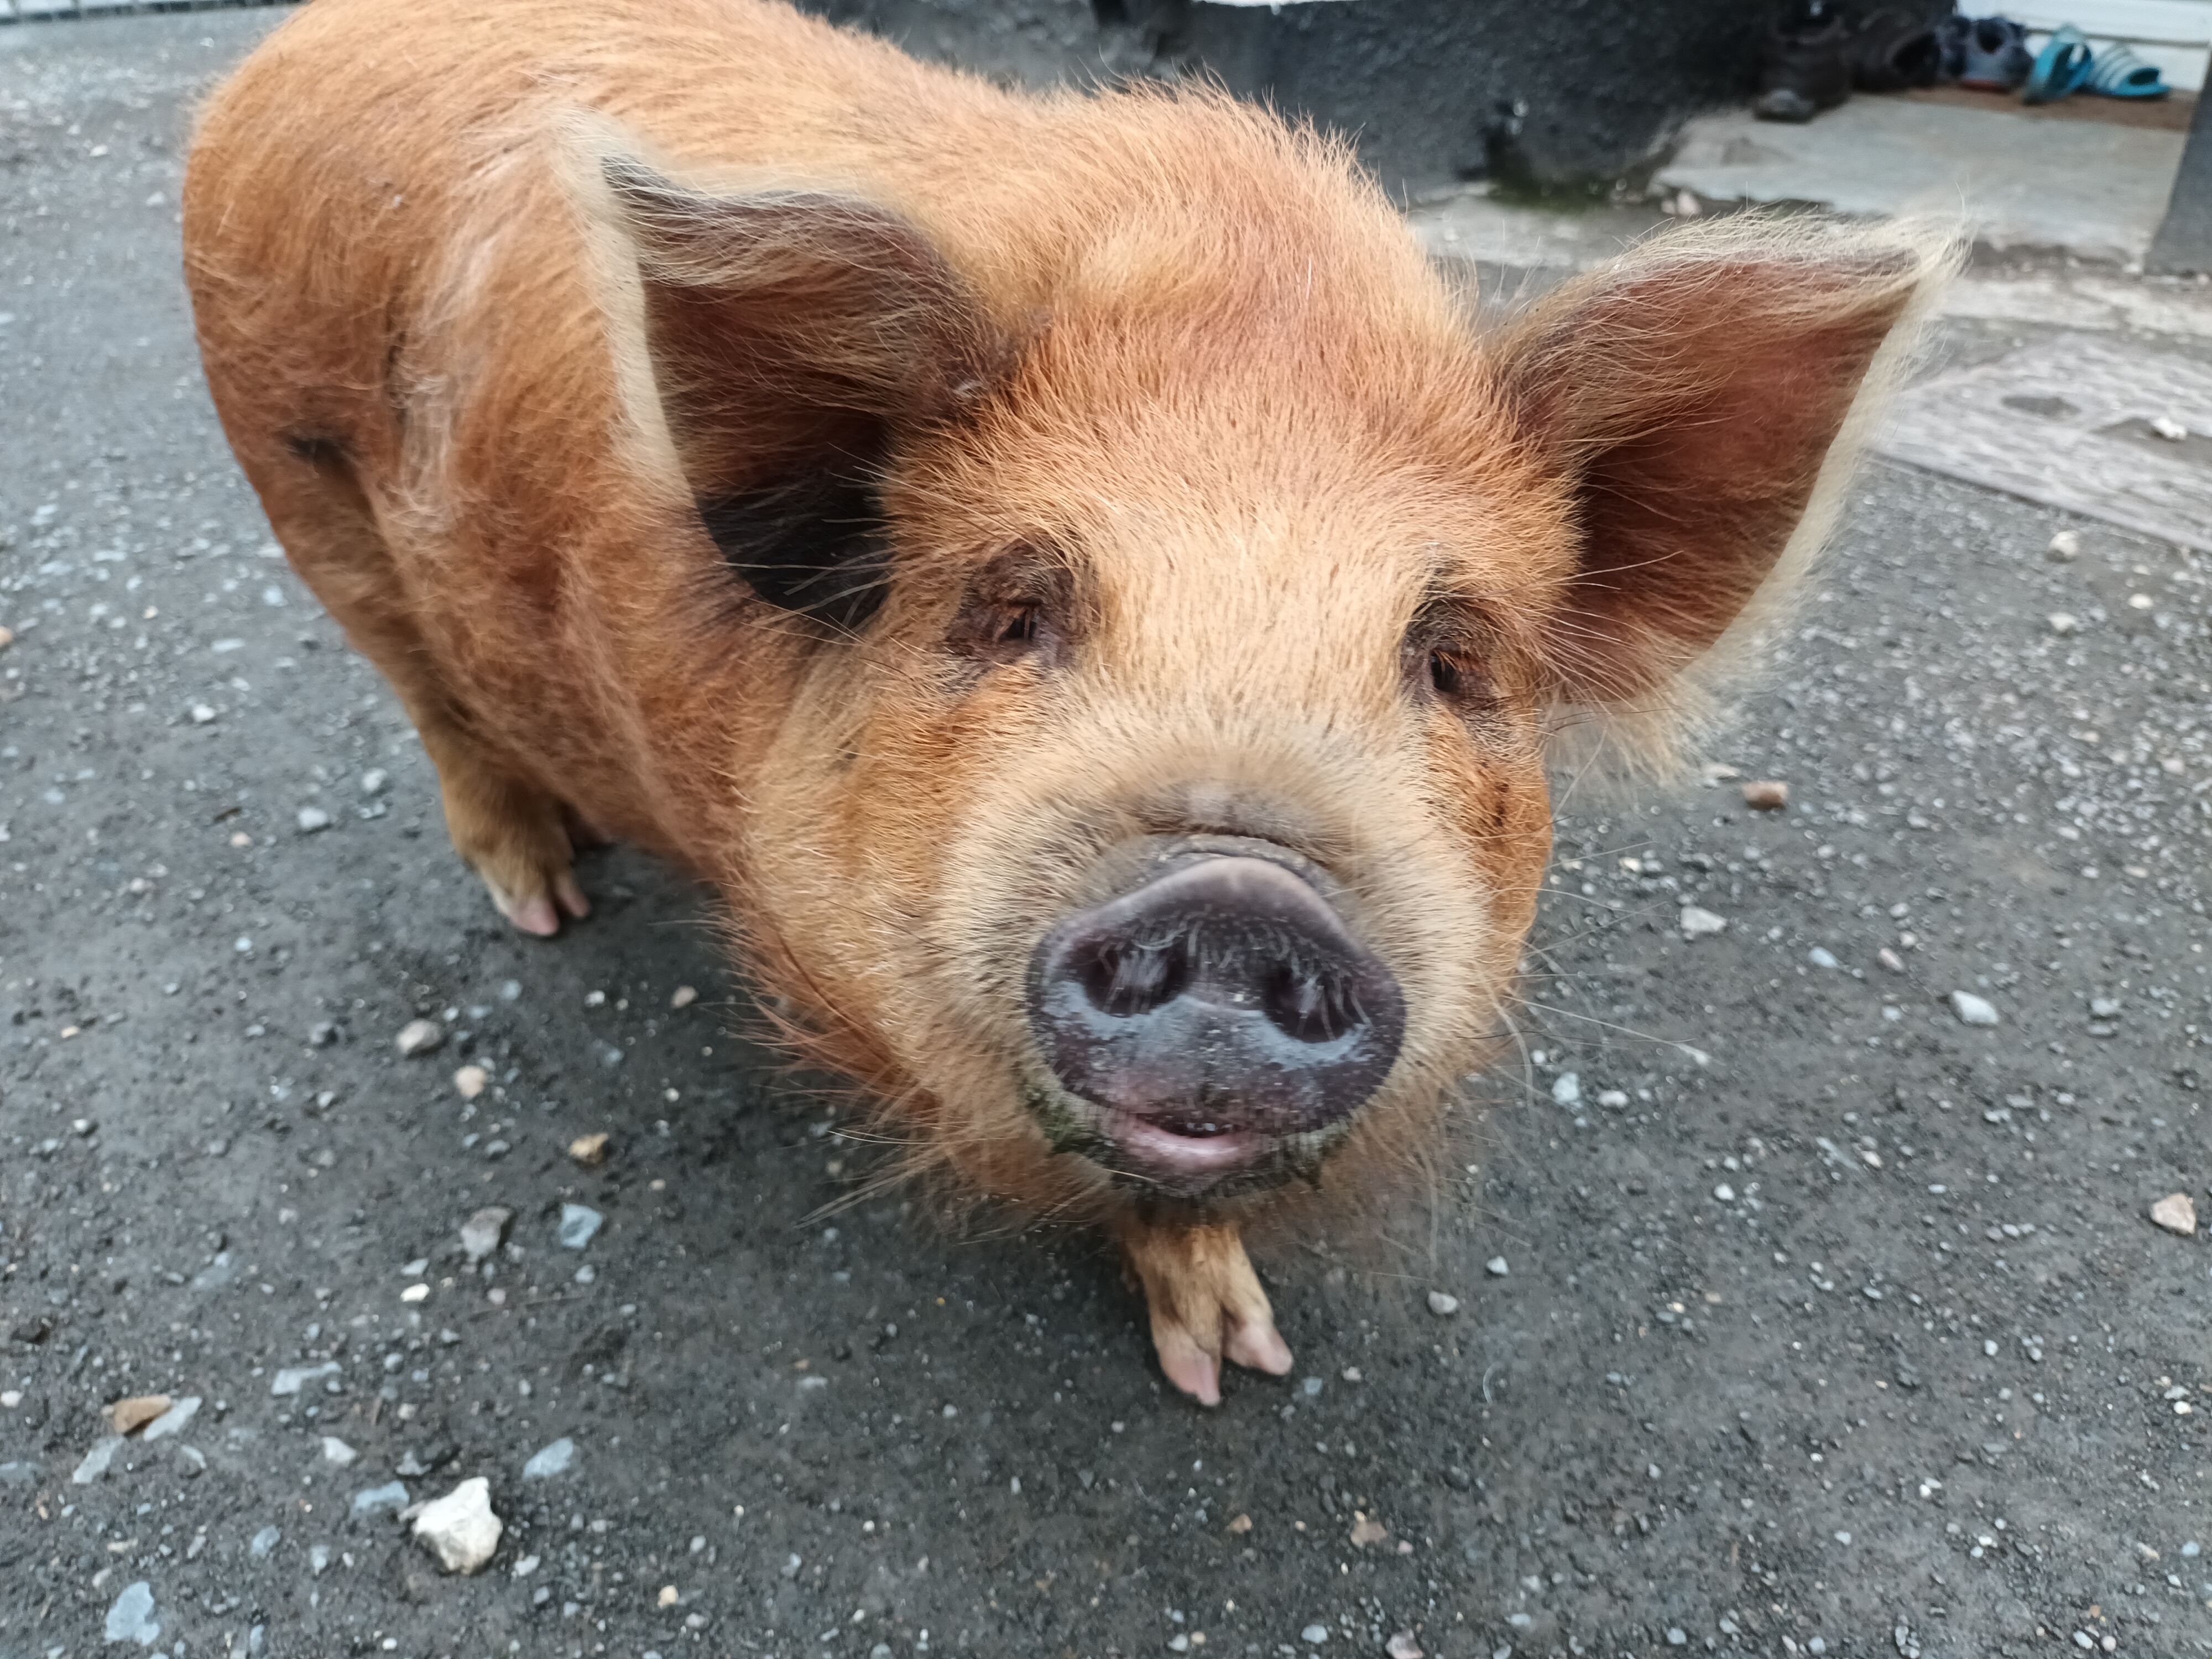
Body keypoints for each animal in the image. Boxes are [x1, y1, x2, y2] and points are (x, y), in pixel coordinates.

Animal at [190, 0, 1955, 1407]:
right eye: (1015, 610)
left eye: (1453, 659)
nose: (1242, 892)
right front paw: (1221, 1366)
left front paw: (1241, 1363)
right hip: (301, 496)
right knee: (431, 700)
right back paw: (543, 898)